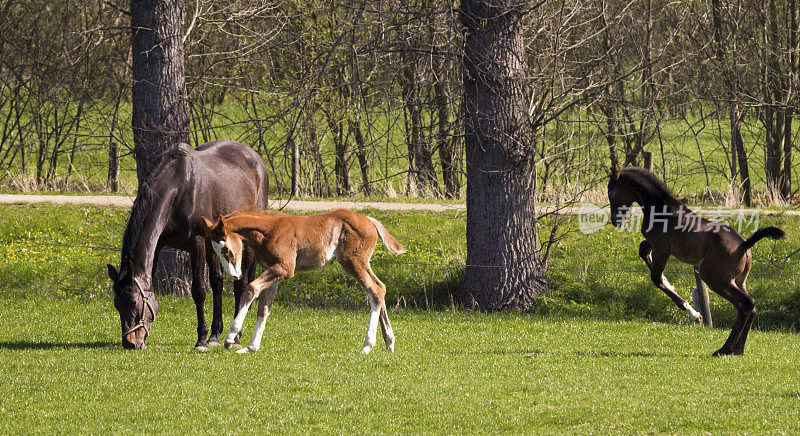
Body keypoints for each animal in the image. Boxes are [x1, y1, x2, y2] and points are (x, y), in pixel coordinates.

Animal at [197, 208, 404, 354]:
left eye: (226, 249)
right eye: (215, 251)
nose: (234, 275)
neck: (269, 231)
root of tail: (369, 220)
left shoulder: (284, 269)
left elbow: (251, 289)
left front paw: (230, 337)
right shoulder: (273, 271)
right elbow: (264, 308)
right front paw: (251, 347)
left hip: (353, 262)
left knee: (375, 289)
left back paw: (367, 345)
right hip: (360, 263)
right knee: (379, 289)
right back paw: (389, 342)